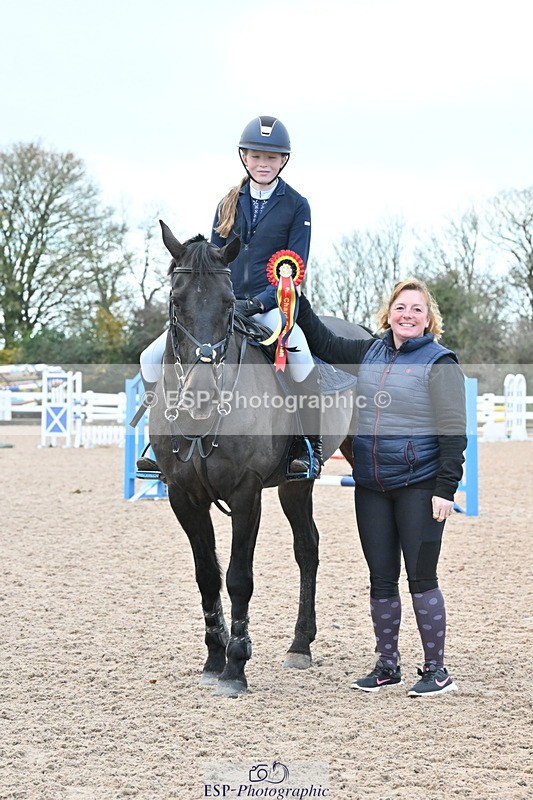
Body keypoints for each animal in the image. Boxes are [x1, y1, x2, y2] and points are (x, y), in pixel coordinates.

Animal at [148, 220, 371, 697]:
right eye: (176, 302)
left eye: (230, 303)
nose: (201, 397)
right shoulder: (183, 496)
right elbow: (207, 575)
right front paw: (214, 659)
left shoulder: (245, 493)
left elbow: (238, 578)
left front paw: (235, 667)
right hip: (293, 484)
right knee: (308, 546)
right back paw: (301, 644)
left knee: (312, 547)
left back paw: (302, 646)